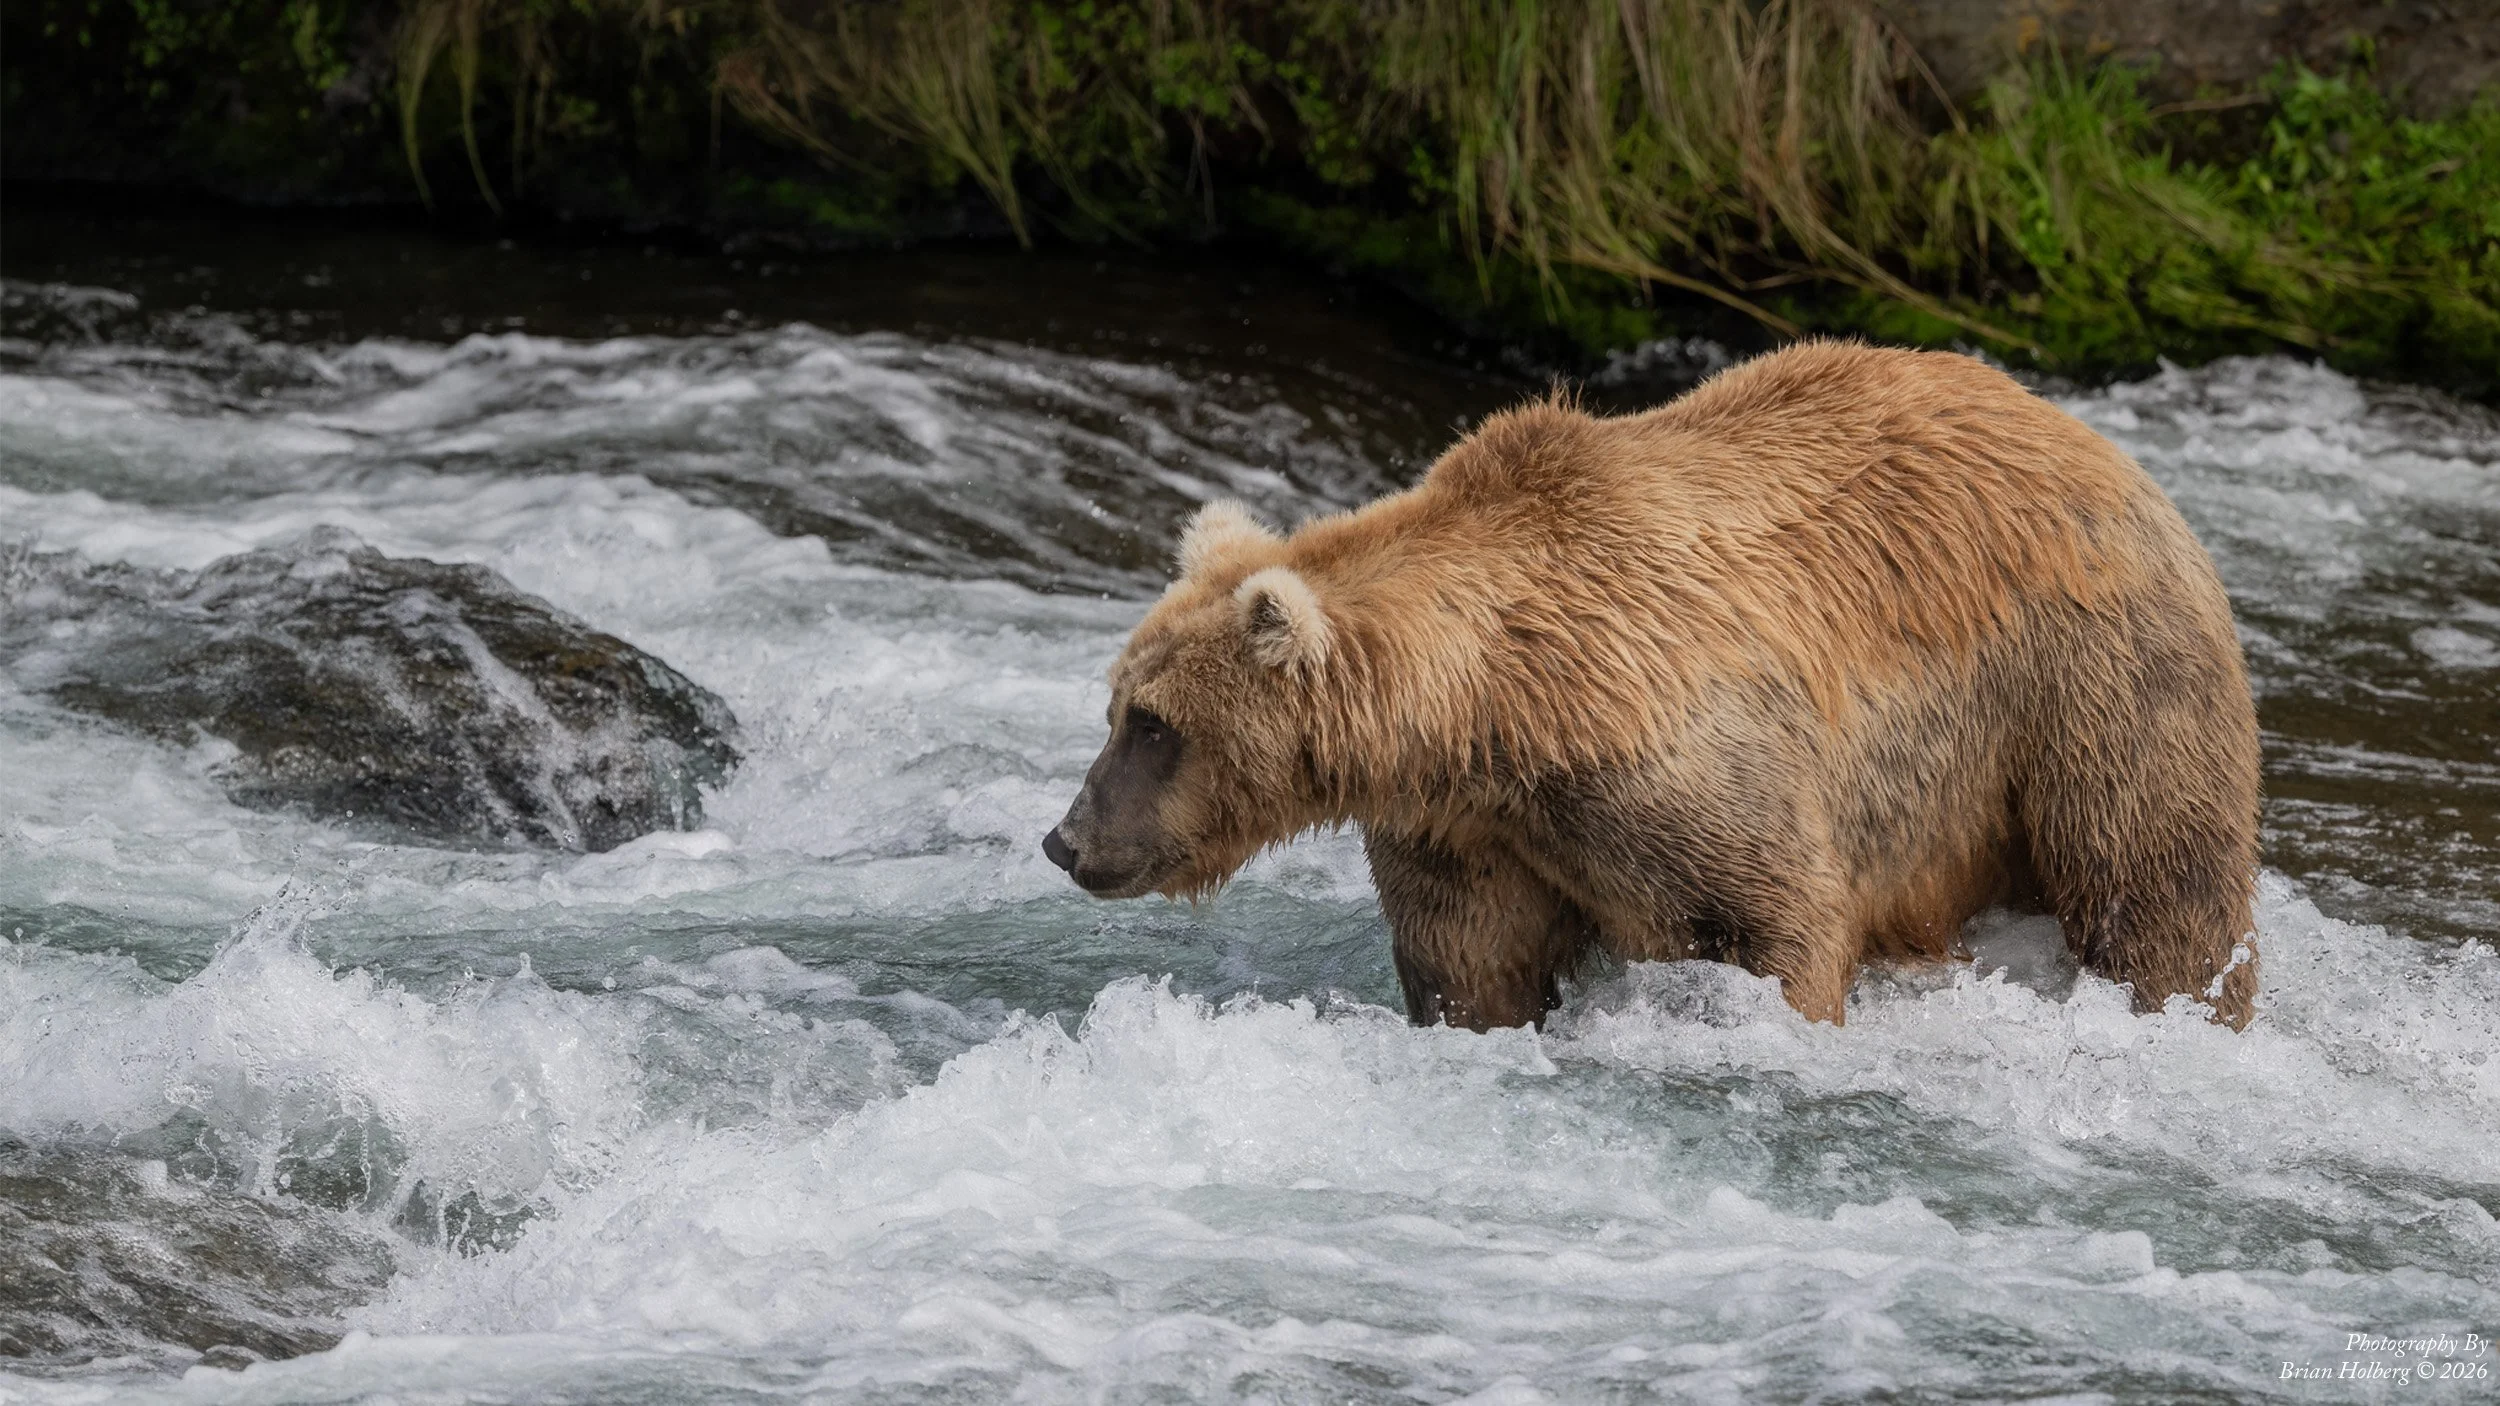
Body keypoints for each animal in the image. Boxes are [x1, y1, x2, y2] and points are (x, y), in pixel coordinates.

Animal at [1043, 340, 2262, 1030]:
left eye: (1152, 724)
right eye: (1115, 706)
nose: (1066, 837)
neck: (1496, 711)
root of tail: (2102, 448)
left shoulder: (1671, 763)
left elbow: (1768, 922)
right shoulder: (1464, 827)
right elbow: (1468, 963)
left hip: (2088, 679)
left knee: (2154, 876)